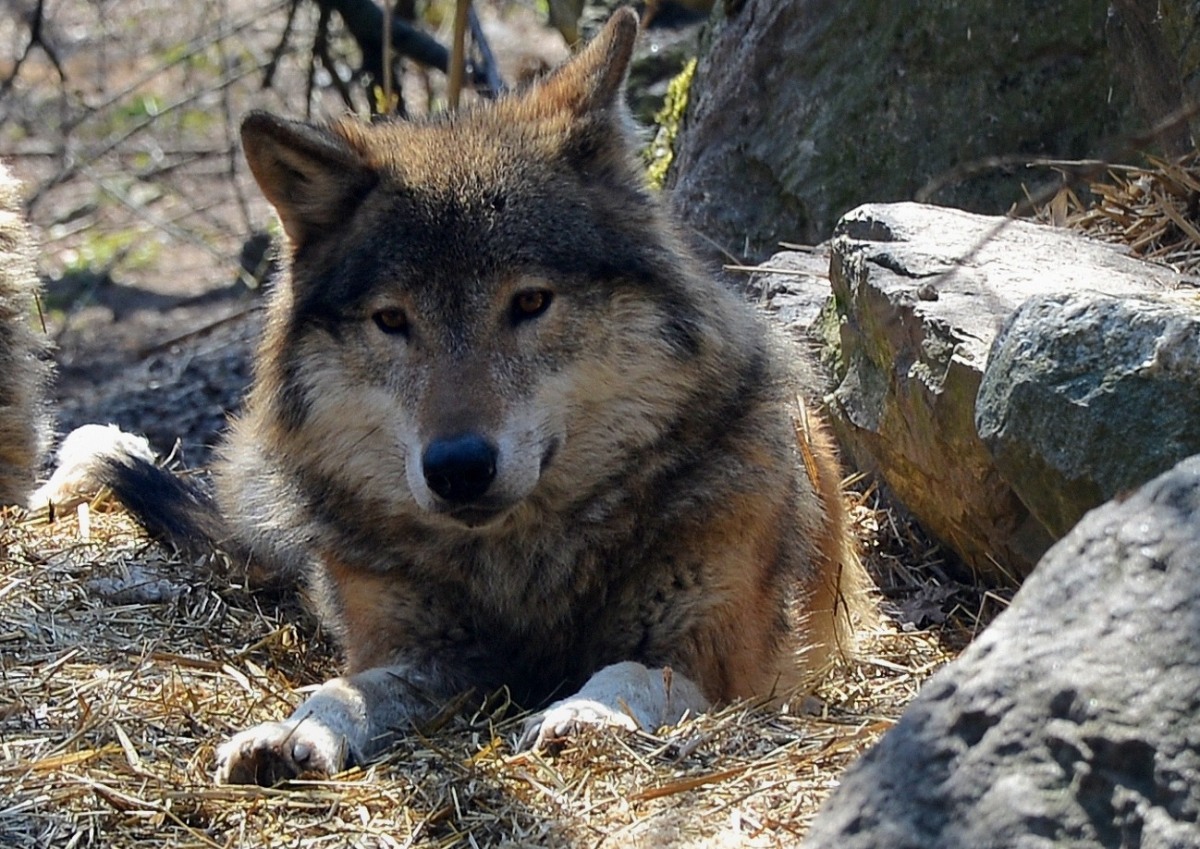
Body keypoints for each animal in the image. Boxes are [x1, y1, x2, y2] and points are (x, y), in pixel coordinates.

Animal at [94, 7, 871, 786]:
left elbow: (629, 671)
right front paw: (292, 729)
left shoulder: (729, 656)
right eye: (392, 319)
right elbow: (345, 687)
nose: (459, 467)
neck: (522, 568)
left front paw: (584, 714)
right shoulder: (418, 651)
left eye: (528, 302)